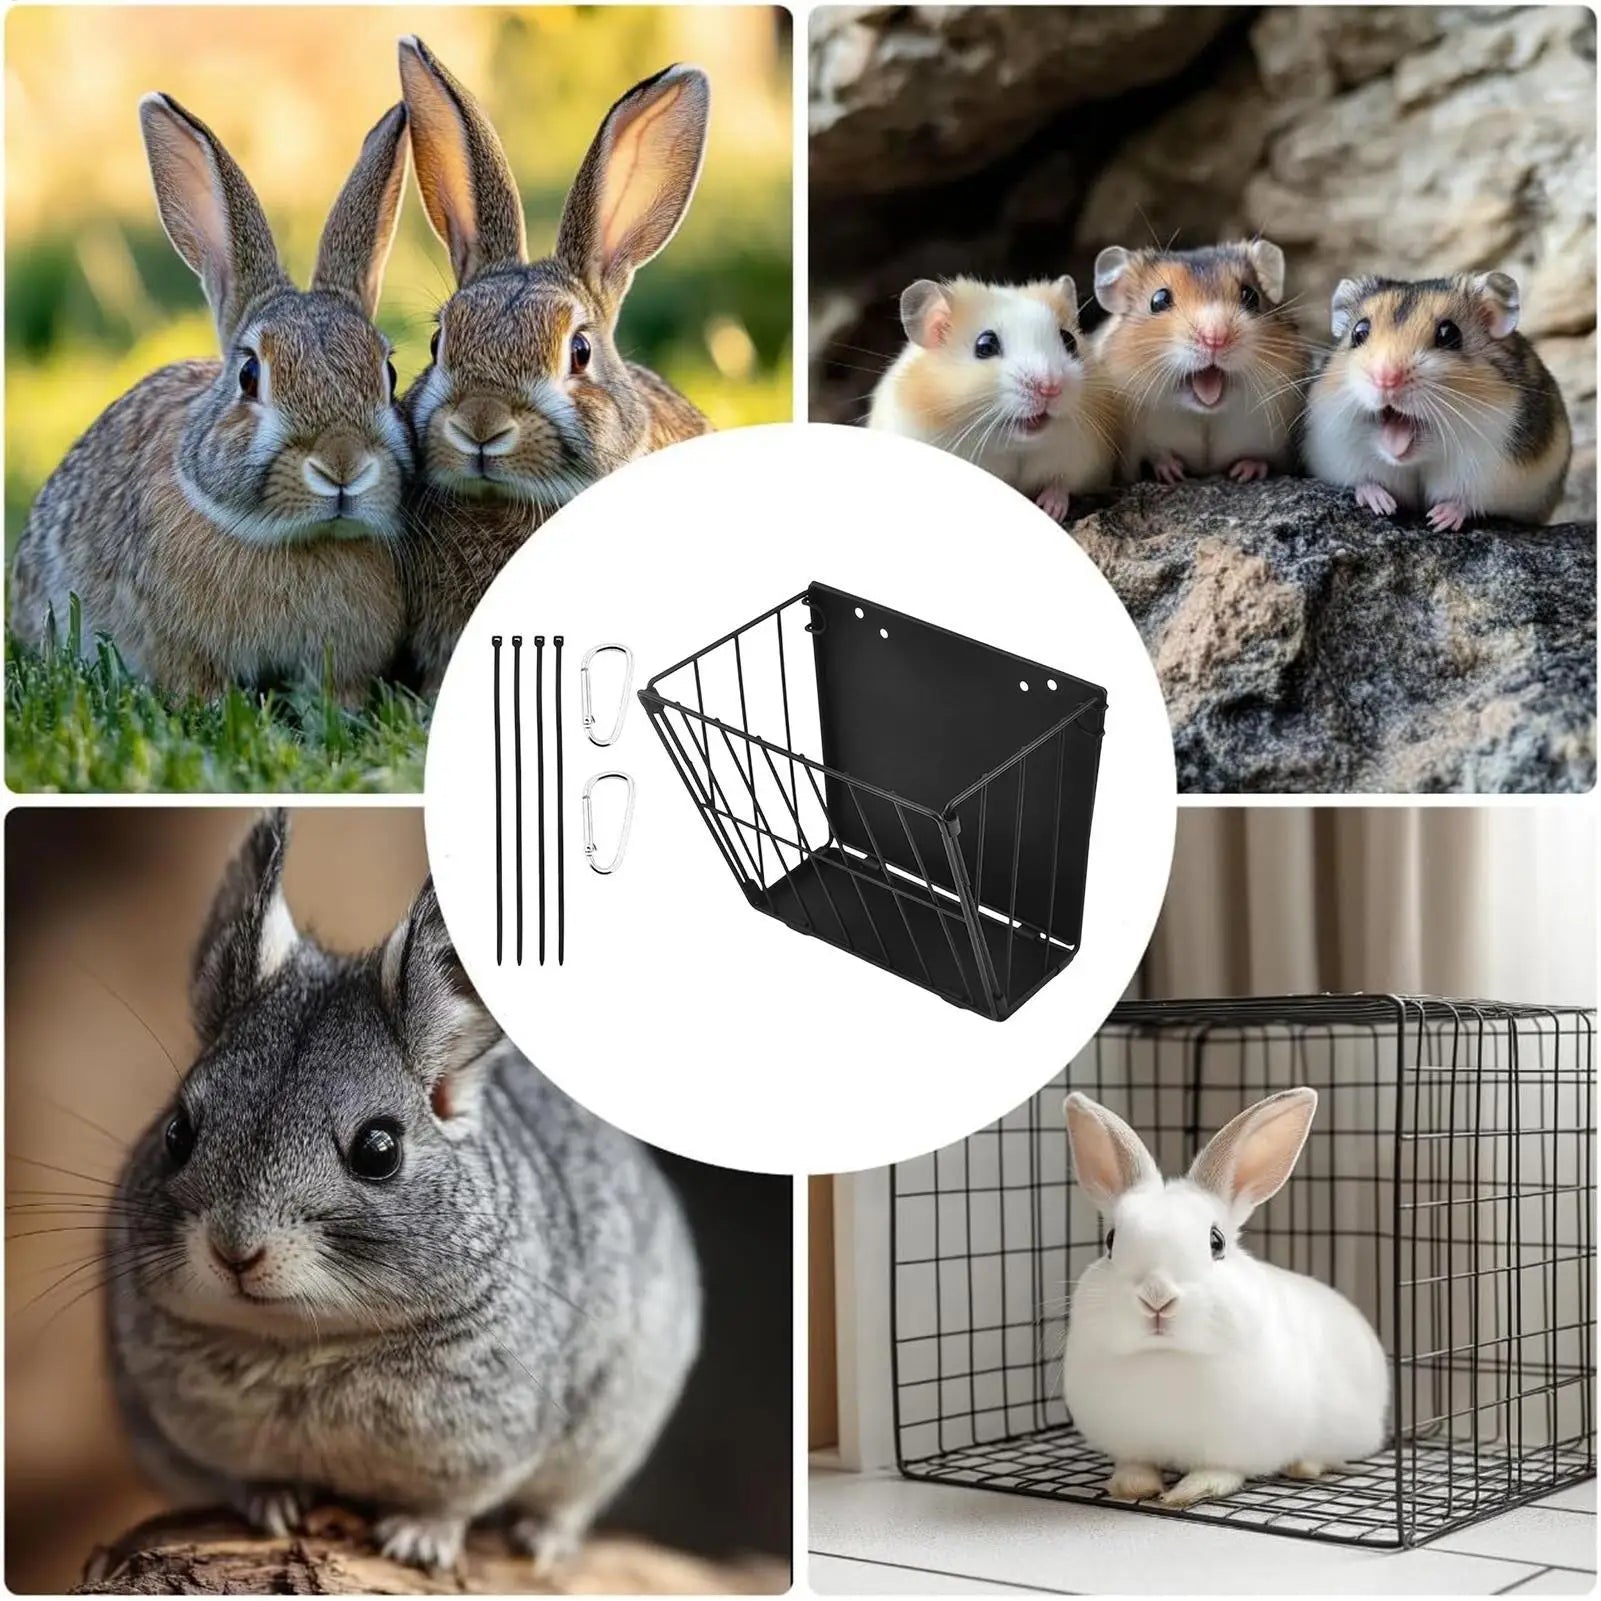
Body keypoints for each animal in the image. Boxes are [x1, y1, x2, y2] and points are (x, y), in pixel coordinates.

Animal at [106, 811, 700, 1573]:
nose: (235, 1250)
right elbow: (240, 1476)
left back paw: (542, 1542)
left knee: (568, 1504)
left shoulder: (495, 1440)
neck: (304, 1343)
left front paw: (417, 1542)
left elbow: (451, 1503)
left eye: (378, 1150)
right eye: (179, 1130)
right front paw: (273, 1504)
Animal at [1060, 1088, 1388, 1508]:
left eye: (1216, 1242)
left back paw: (1304, 1466)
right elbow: (1136, 1465)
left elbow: (1219, 1472)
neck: (1166, 1357)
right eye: (1111, 1241)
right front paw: (1133, 1487)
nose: (1157, 1297)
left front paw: (1188, 1492)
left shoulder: (1235, 1449)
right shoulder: (1131, 1446)